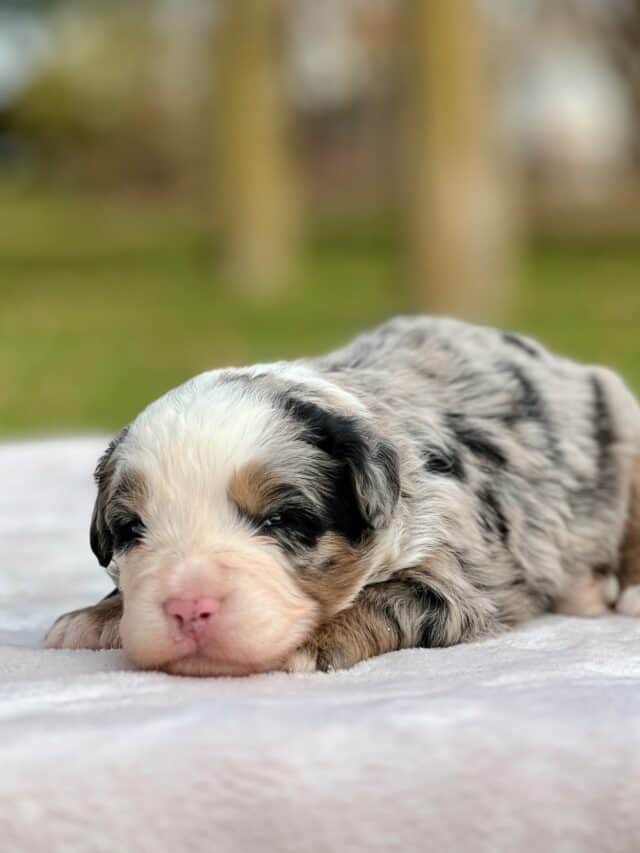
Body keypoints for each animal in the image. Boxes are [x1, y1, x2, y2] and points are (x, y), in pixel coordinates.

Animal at [47, 316, 640, 676]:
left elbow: (387, 599)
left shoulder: (458, 573)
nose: (189, 608)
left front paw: (307, 643)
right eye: (132, 530)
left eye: (281, 520)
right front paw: (93, 617)